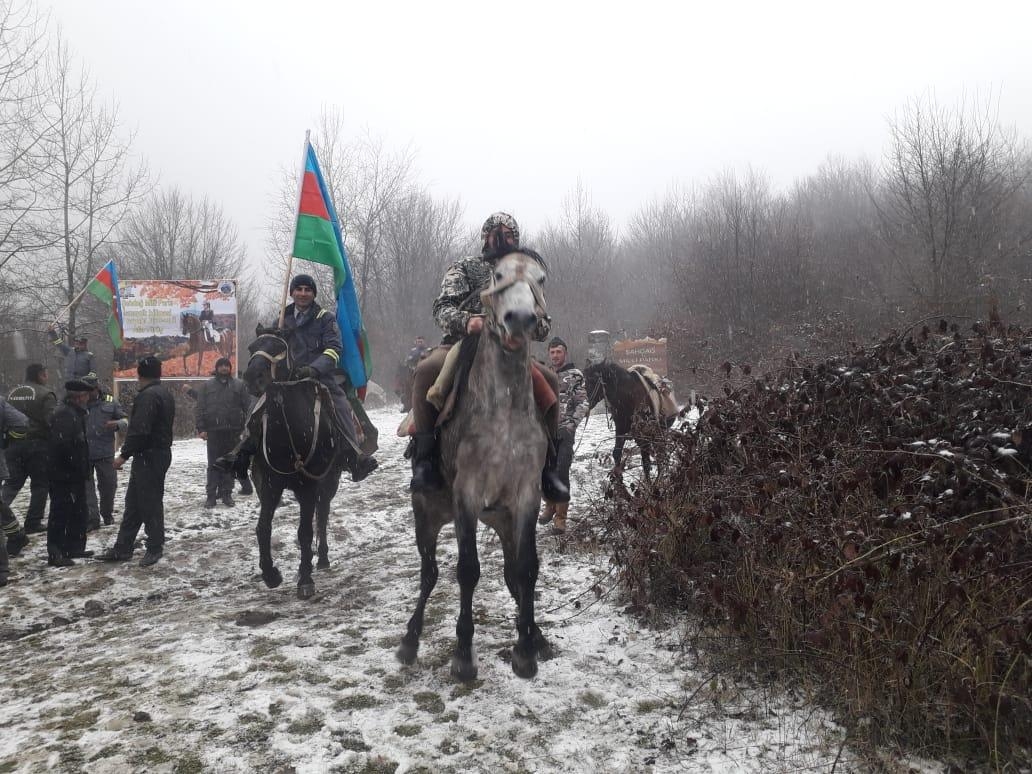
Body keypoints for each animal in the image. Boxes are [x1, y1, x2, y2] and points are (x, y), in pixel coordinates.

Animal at [396, 251, 557, 681]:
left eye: (540, 280)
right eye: (497, 276)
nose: (521, 319)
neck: (503, 413)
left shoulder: (526, 498)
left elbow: (527, 570)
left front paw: (526, 651)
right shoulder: (466, 497)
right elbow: (468, 570)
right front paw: (464, 654)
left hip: (500, 519)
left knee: (512, 573)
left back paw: (536, 637)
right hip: (427, 516)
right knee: (430, 573)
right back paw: (409, 641)